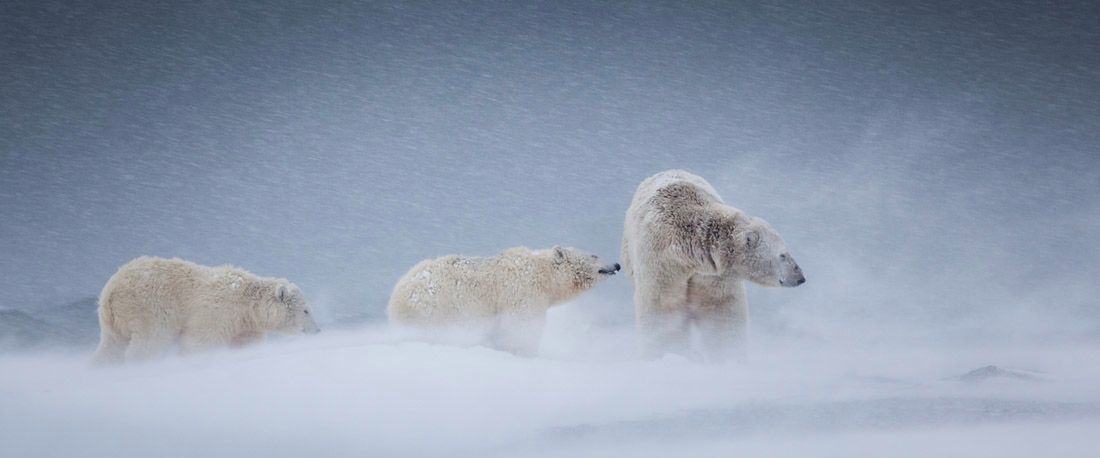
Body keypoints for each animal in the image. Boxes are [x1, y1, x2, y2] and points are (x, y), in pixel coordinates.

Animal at [92, 257, 321, 365]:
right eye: (306, 310)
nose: (318, 330)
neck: (246, 303)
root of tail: (112, 290)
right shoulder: (217, 312)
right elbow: (199, 342)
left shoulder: (244, 326)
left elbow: (244, 344)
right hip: (149, 308)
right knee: (150, 342)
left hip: (111, 320)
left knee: (111, 348)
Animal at [391, 245, 624, 356]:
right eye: (594, 255)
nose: (616, 264)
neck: (543, 274)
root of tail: (397, 296)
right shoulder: (522, 291)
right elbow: (521, 326)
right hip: (437, 307)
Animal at [620, 169, 809, 363]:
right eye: (783, 255)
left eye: (787, 251)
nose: (800, 277)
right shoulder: (662, 259)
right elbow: (663, 305)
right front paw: (667, 354)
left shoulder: (713, 273)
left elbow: (719, 309)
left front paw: (727, 357)